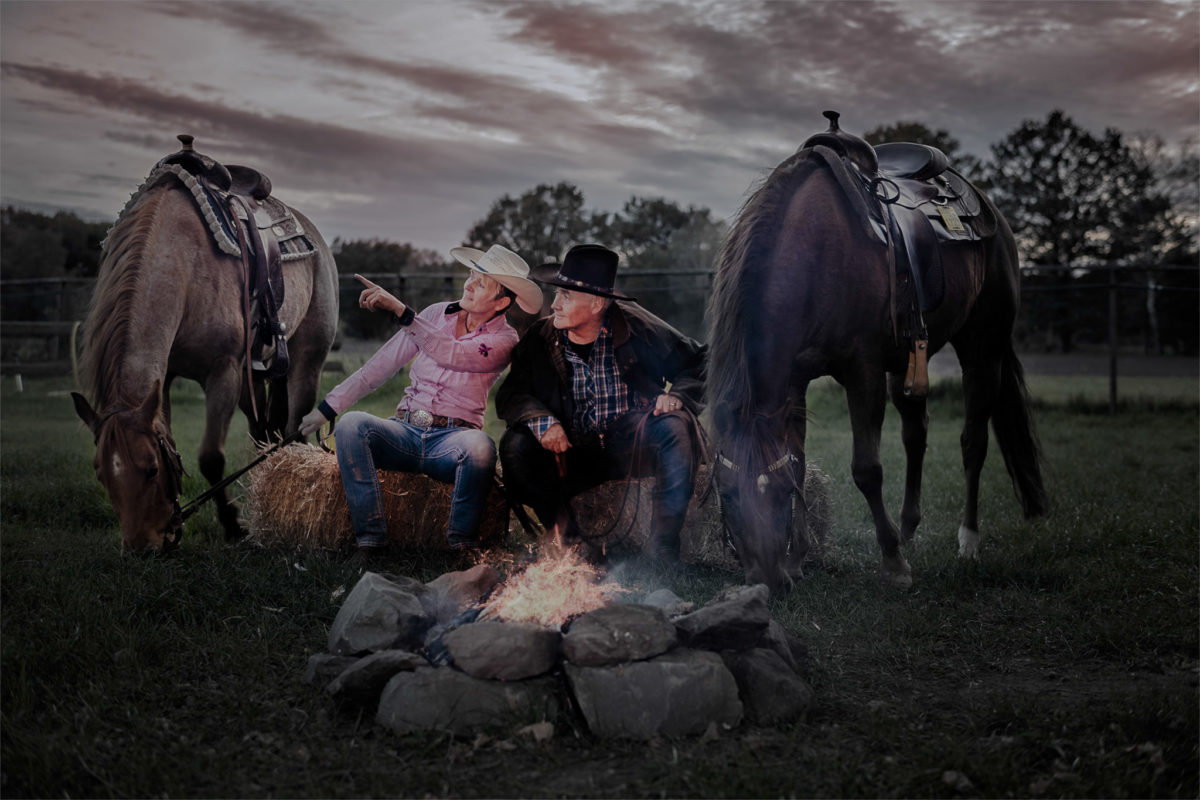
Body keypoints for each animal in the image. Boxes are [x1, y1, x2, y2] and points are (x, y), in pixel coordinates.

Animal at [70, 139, 338, 551]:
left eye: (151, 469)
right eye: (101, 474)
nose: (143, 547)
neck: (181, 268)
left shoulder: (222, 372)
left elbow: (211, 458)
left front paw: (234, 526)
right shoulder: (164, 380)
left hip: (307, 358)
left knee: (294, 425)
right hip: (255, 375)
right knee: (265, 432)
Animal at [705, 113, 1046, 594]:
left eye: (772, 491)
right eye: (728, 493)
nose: (768, 581)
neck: (815, 253)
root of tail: (988, 209)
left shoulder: (862, 371)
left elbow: (866, 469)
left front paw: (893, 563)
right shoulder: (794, 379)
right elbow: (800, 460)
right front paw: (799, 557)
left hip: (983, 346)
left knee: (973, 442)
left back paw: (968, 541)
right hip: (909, 361)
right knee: (916, 433)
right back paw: (908, 529)